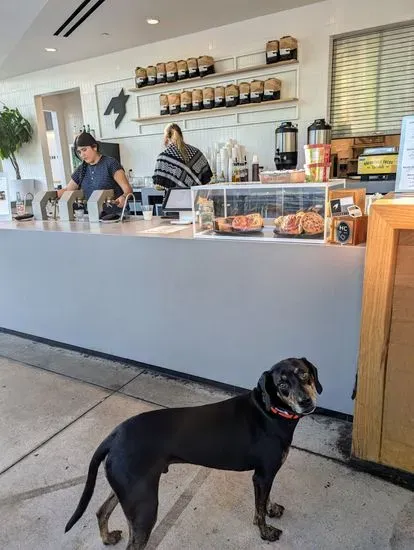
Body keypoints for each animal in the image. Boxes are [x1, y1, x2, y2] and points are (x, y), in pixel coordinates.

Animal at [65, 357, 322, 549]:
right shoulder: (262, 475)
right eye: (282, 385)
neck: (271, 411)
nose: (305, 401)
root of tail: (114, 435)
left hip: (127, 491)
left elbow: (265, 500)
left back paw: (107, 537)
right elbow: (258, 511)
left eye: (303, 374)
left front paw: (271, 508)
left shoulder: (265, 475)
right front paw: (265, 532)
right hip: (144, 505)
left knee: (101, 511)